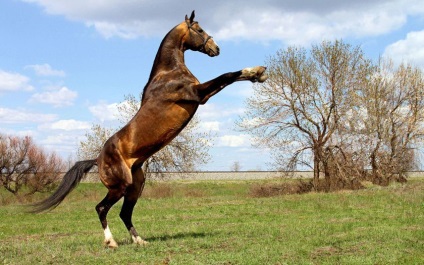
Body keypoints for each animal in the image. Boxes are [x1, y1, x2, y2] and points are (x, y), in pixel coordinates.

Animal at [31, 10, 266, 248]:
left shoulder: (203, 96)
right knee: (101, 208)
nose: (216, 49)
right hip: (120, 186)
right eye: (199, 30)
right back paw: (111, 242)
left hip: (135, 186)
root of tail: (97, 159)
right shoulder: (197, 94)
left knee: (124, 213)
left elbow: (229, 79)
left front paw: (258, 74)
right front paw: (256, 71)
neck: (168, 74)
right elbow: (226, 76)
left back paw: (139, 240)